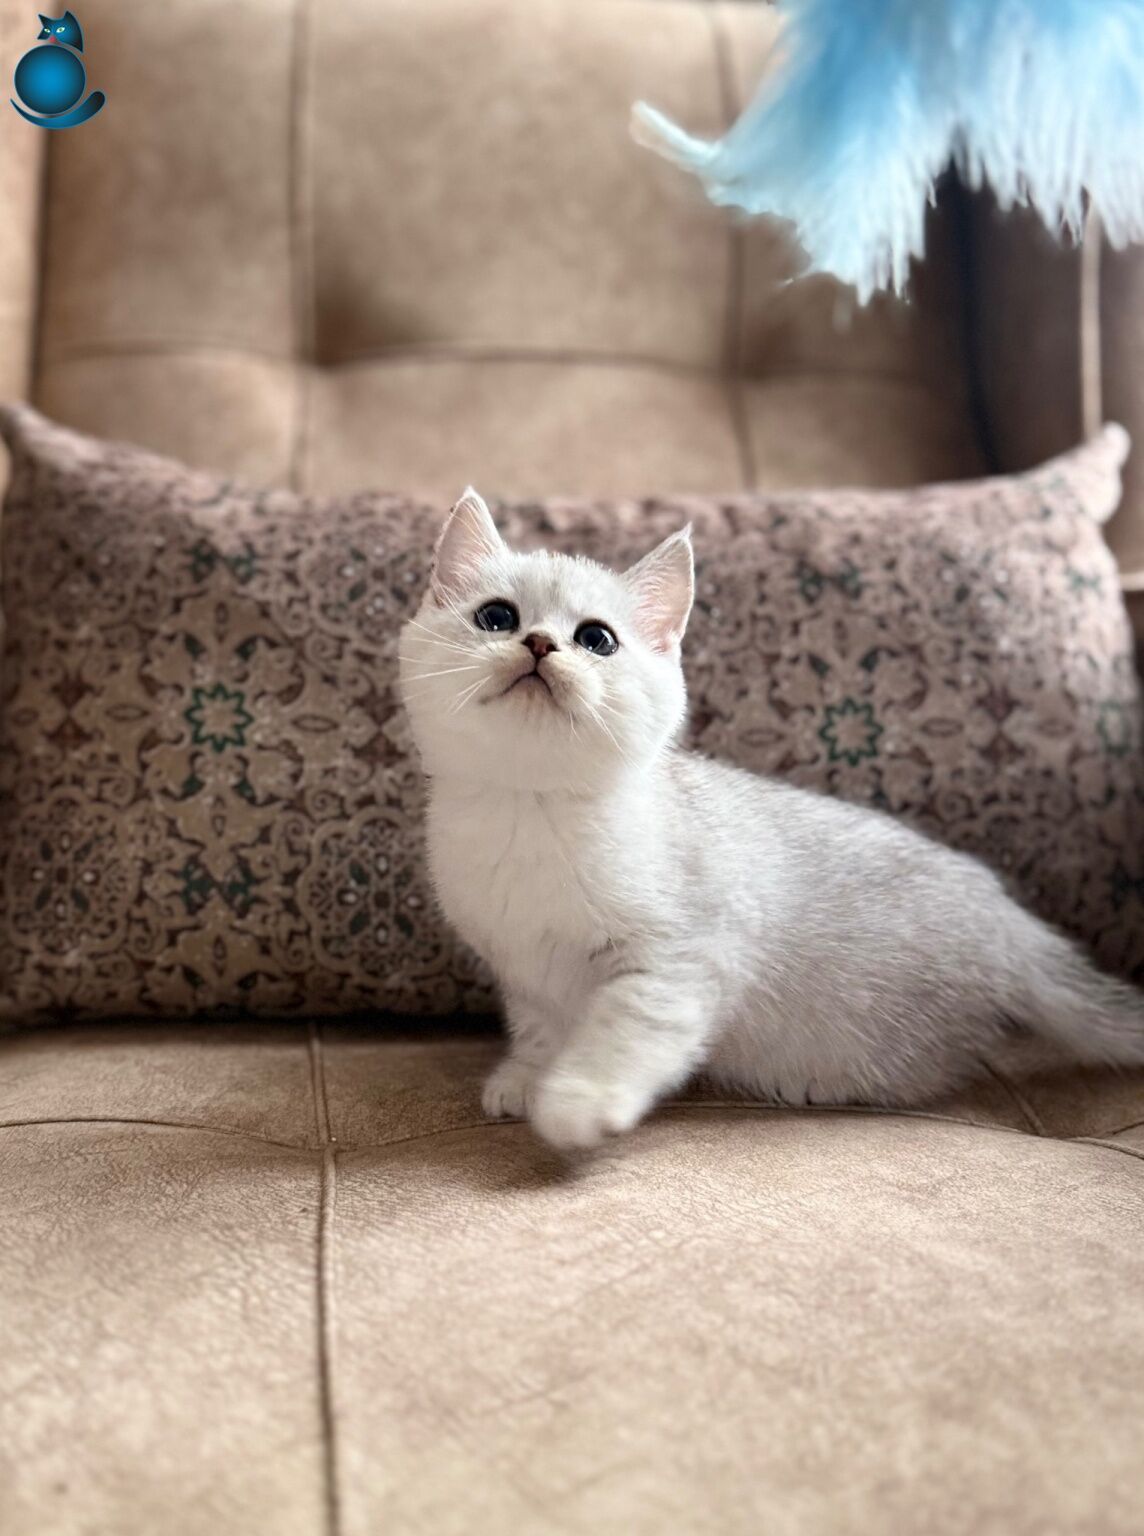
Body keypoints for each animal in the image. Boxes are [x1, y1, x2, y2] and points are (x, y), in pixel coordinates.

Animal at [398, 489, 1144, 1152]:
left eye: (597, 640)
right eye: (497, 617)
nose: (540, 645)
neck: (532, 807)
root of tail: (1008, 919)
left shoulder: (680, 959)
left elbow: (623, 1030)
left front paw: (579, 1100)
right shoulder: (525, 973)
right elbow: (539, 1029)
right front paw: (527, 1077)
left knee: (929, 1070)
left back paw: (818, 1082)